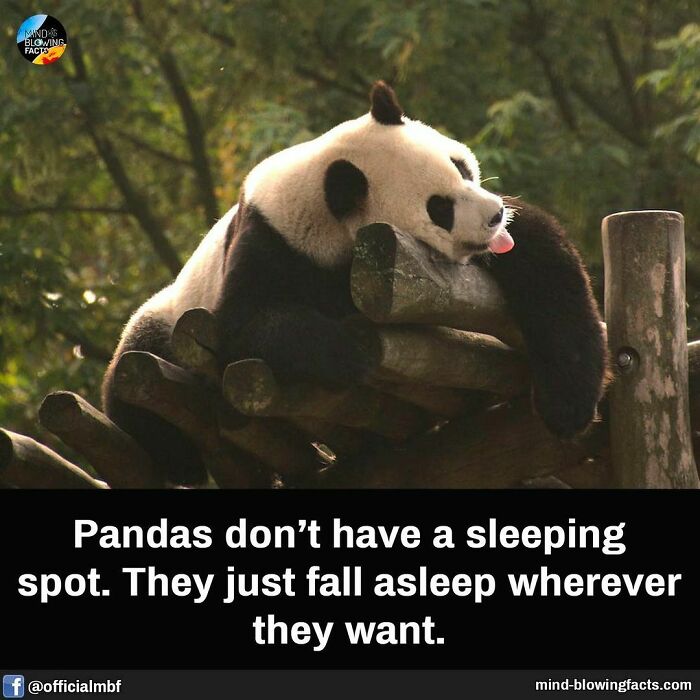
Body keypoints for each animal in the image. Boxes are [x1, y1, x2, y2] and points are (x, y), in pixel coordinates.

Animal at [102, 81, 608, 484]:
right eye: (439, 208)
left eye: (461, 167)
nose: (494, 214)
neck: (323, 198)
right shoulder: (270, 241)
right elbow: (246, 322)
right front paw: (353, 348)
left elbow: (544, 260)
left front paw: (567, 406)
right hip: (169, 318)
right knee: (133, 378)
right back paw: (180, 460)